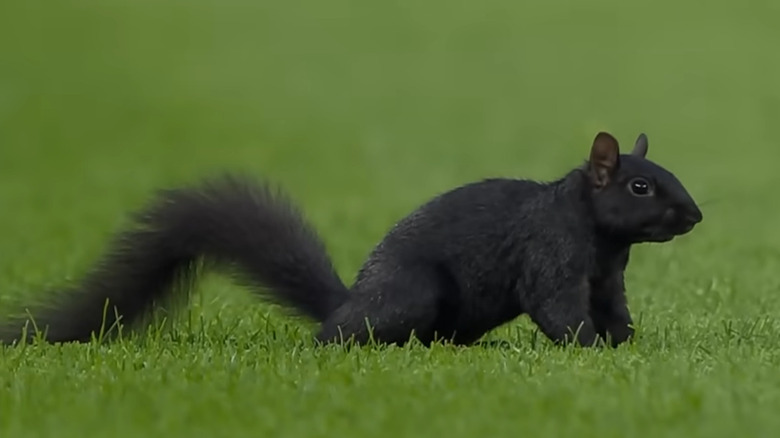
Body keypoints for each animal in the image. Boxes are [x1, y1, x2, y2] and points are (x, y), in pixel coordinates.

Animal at [0, 131, 702, 348]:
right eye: (641, 187)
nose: (694, 215)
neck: (596, 231)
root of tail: (348, 301)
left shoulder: (607, 274)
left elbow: (613, 307)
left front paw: (627, 342)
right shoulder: (551, 254)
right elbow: (558, 308)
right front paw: (592, 347)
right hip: (410, 294)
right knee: (332, 339)